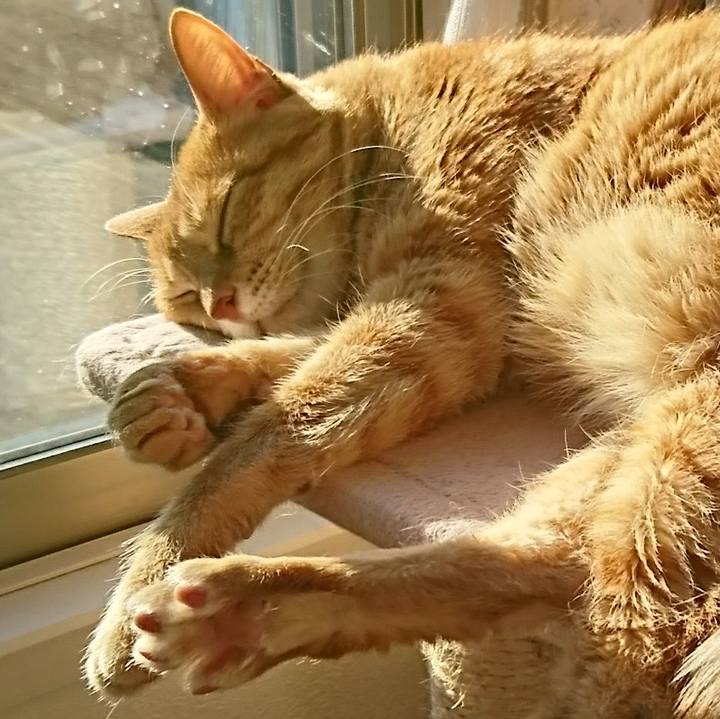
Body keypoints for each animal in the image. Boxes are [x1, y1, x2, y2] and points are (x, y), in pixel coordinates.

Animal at [84, 7, 720, 716]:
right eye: (184, 300)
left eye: (225, 218)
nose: (219, 302)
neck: (390, 131)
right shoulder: (468, 335)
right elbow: (294, 357)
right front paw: (175, 392)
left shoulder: (439, 302)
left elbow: (274, 429)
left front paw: (154, 559)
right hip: (629, 458)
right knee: (539, 567)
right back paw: (242, 612)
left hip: (678, 459)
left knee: (627, 638)